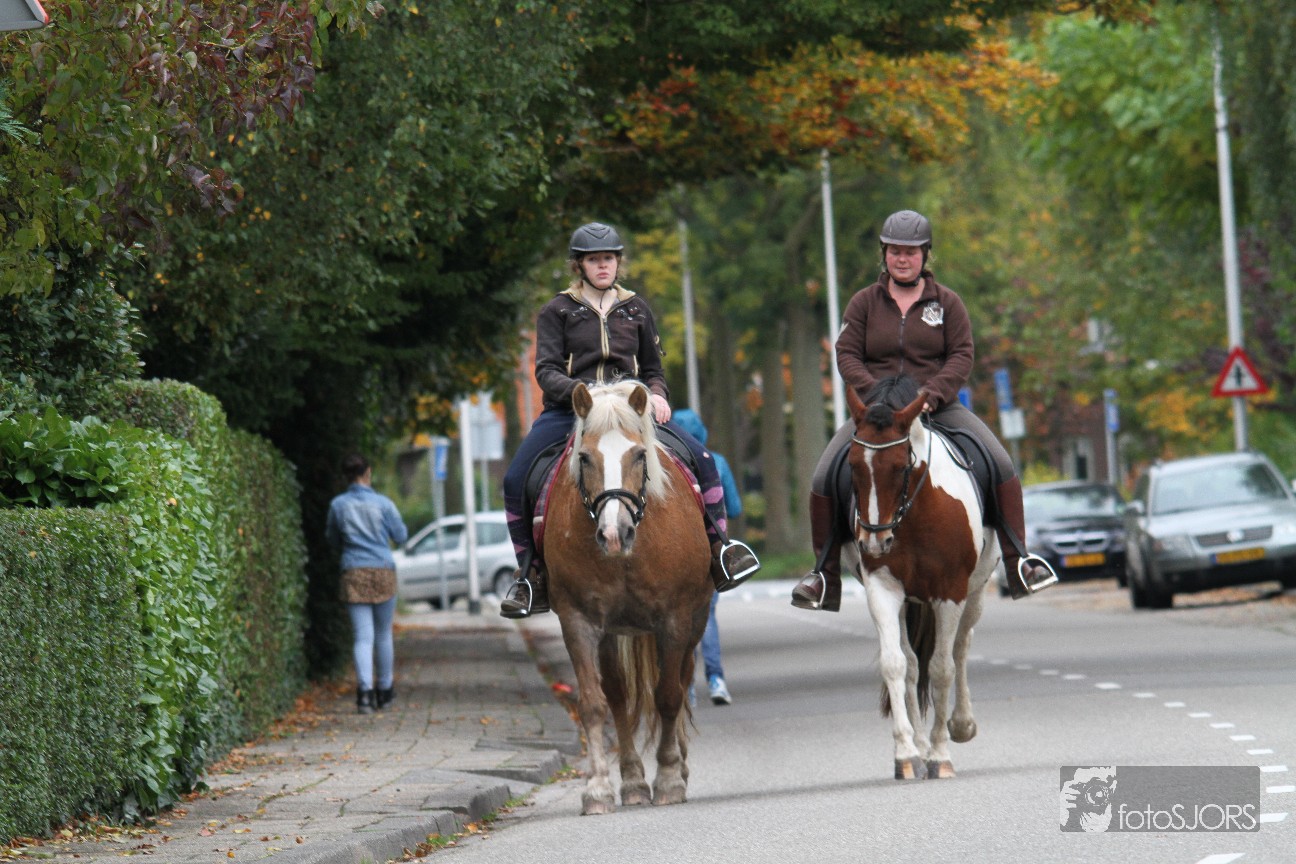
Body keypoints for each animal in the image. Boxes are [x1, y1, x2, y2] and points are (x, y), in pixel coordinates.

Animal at [544, 380, 715, 815]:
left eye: (639, 455)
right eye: (585, 458)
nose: (614, 533)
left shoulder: (675, 618)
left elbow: (668, 696)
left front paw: (669, 778)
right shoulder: (579, 621)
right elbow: (593, 703)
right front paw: (598, 788)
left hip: (696, 620)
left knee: (681, 681)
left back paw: (677, 768)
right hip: (612, 633)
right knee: (618, 696)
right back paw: (634, 781)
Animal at [841, 375, 998, 780]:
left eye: (900, 466)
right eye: (853, 466)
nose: (874, 541)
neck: (914, 512)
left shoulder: (951, 592)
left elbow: (942, 668)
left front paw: (941, 754)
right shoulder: (883, 588)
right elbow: (896, 664)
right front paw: (907, 753)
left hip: (974, 594)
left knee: (960, 648)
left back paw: (961, 725)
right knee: (913, 664)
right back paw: (922, 745)